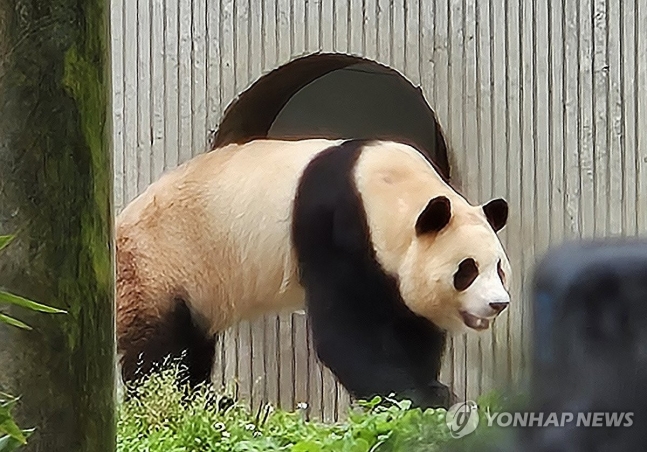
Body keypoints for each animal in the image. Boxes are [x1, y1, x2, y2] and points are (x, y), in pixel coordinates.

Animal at [116, 136, 512, 408]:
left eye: (500, 269)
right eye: (467, 270)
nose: (498, 304)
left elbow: (411, 325)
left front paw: (431, 387)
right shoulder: (333, 227)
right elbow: (347, 333)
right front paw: (418, 397)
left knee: (192, 346)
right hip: (159, 266)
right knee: (158, 351)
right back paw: (171, 399)